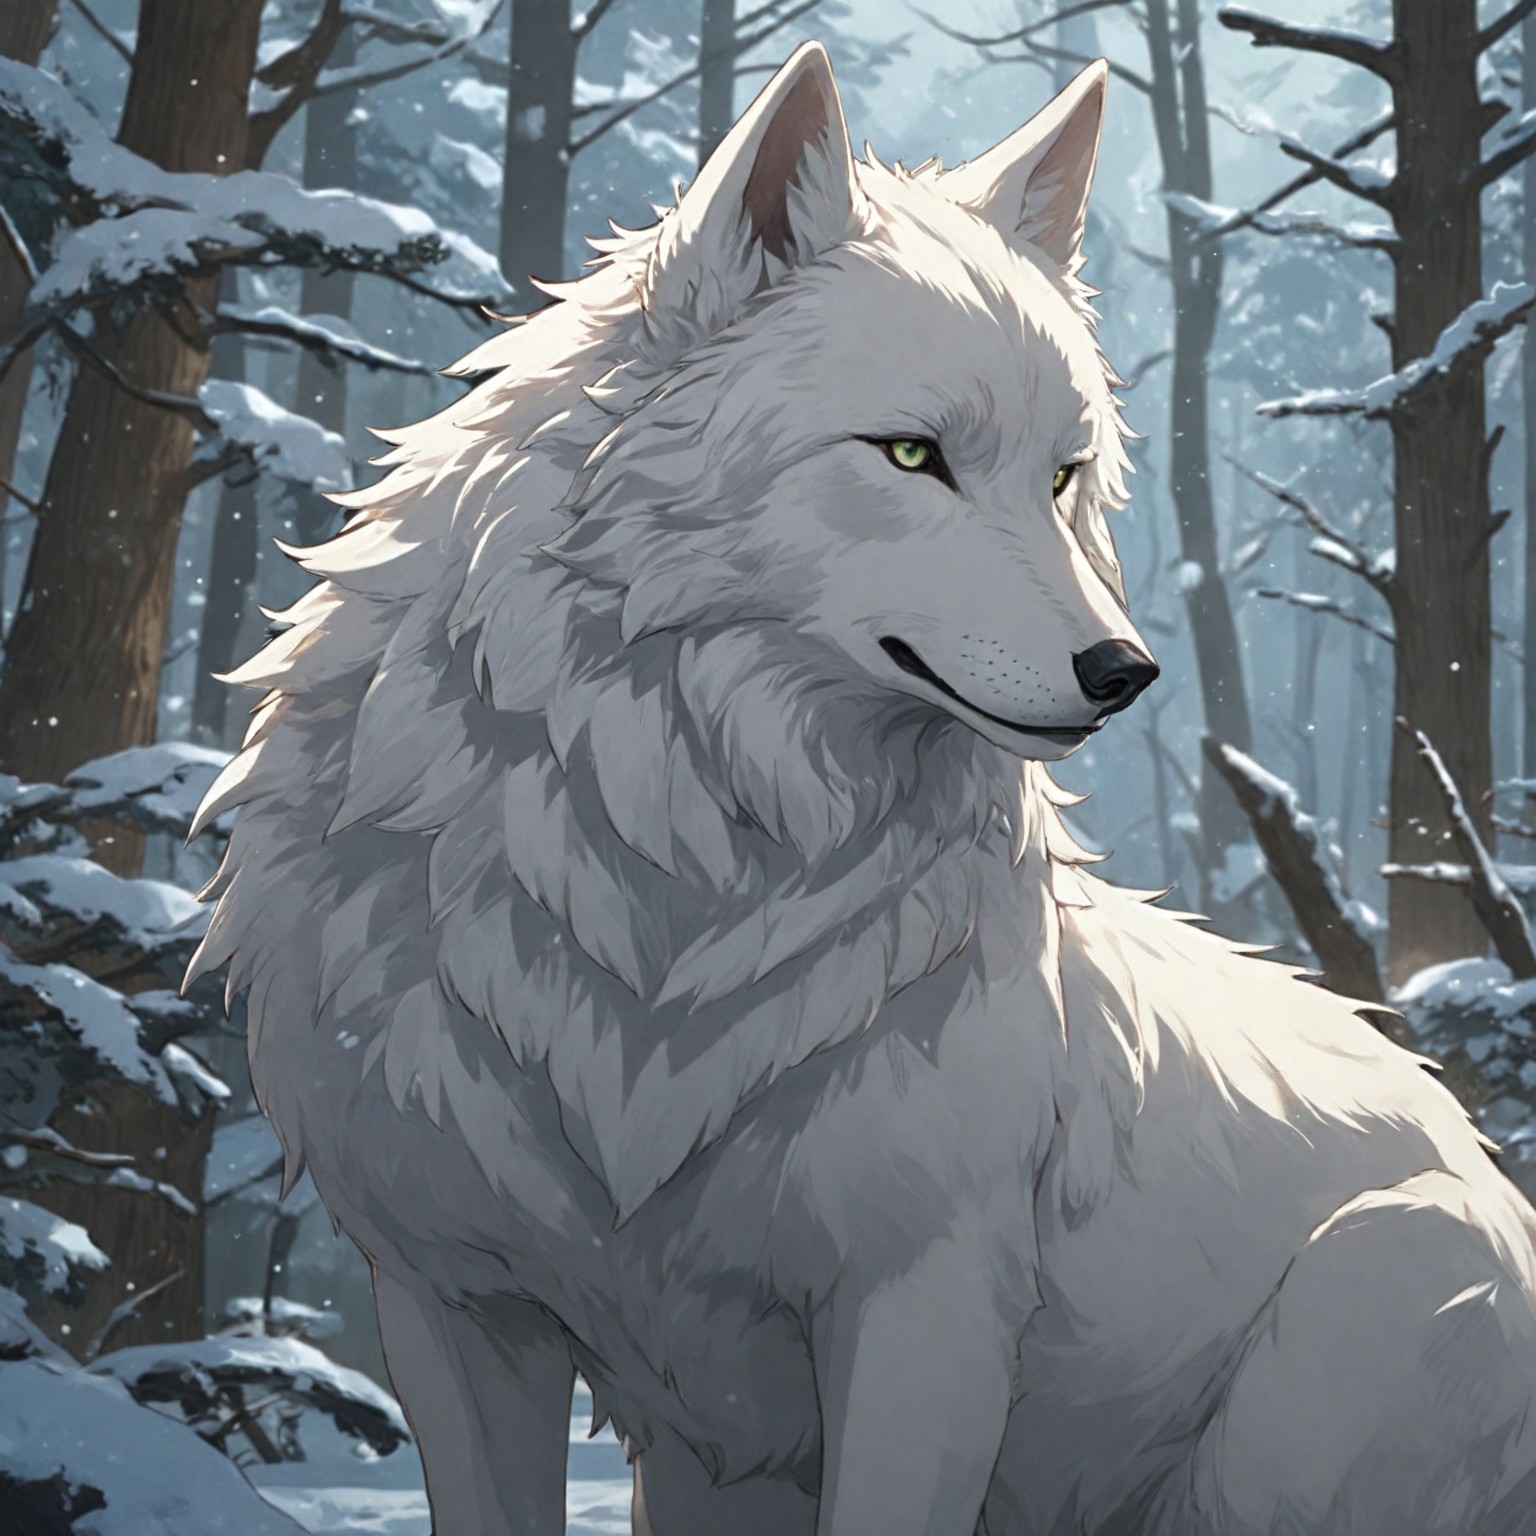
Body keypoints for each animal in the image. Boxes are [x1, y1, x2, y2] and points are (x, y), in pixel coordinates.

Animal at [189, 43, 1536, 1536]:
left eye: (1062, 476)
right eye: (909, 457)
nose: (1126, 672)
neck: (673, 870)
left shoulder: (923, 1311)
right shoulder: (450, 1303)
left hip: (1332, 1364)